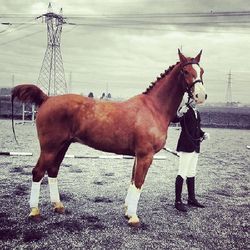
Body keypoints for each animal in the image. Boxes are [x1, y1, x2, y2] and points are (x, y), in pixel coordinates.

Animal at [11, 49, 207, 226]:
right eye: (186, 71)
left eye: (202, 71)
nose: (201, 95)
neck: (153, 108)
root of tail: (47, 99)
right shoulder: (146, 155)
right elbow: (139, 182)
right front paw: (134, 218)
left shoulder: (138, 156)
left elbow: (133, 180)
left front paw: (127, 212)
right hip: (50, 148)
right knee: (38, 172)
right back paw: (34, 211)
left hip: (62, 146)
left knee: (52, 171)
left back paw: (58, 205)